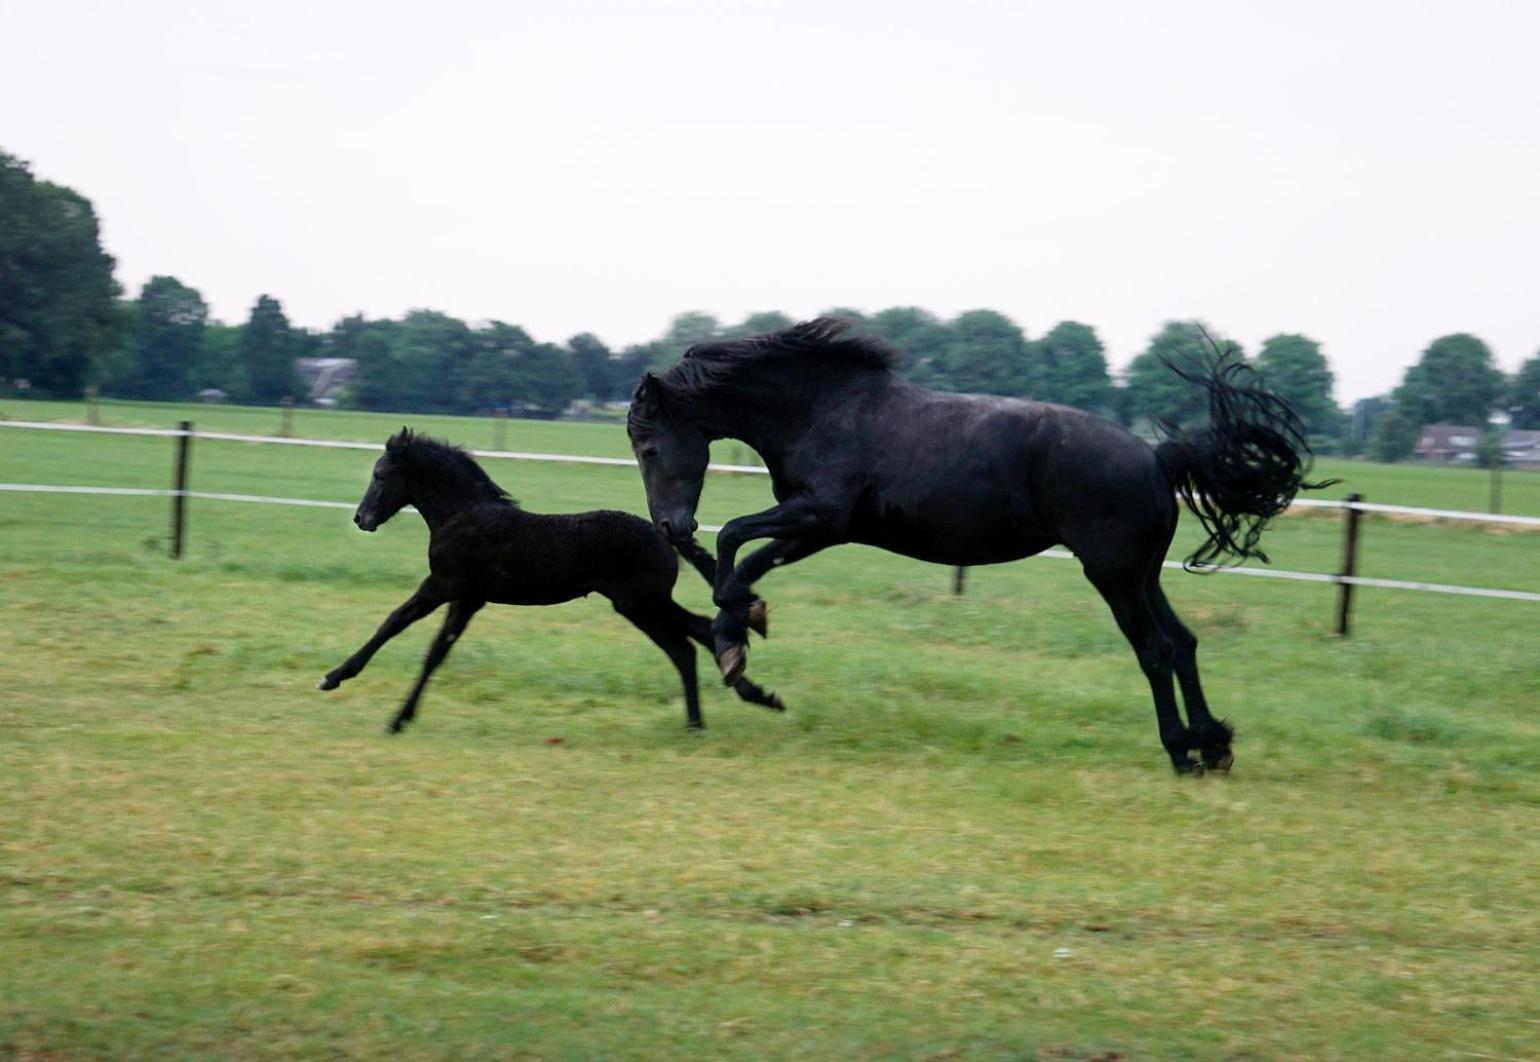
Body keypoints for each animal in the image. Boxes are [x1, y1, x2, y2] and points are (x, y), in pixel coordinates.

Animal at [321, 424, 782, 732]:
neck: (463, 514)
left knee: (688, 642)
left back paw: (725, 706)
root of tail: (664, 532)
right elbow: (424, 643)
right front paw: (385, 707)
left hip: (640, 602)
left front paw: (357, 692)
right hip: (643, 603)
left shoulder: (450, 587)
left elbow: (405, 631)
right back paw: (722, 709)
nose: (362, 518)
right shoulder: (464, 597)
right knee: (693, 639)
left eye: (380, 475)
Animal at [625, 313, 1324, 769]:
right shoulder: (824, 531)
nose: (670, 527)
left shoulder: (817, 515)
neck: (824, 411)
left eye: (650, 445)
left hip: (1112, 575)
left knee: (1153, 650)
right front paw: (740, 648)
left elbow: (733, 546)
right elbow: (747, 565)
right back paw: (1216, 742)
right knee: (1182, 643)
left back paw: (1182, 752)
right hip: (1142, 574)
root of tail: (1157, 457)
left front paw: (739, 639)